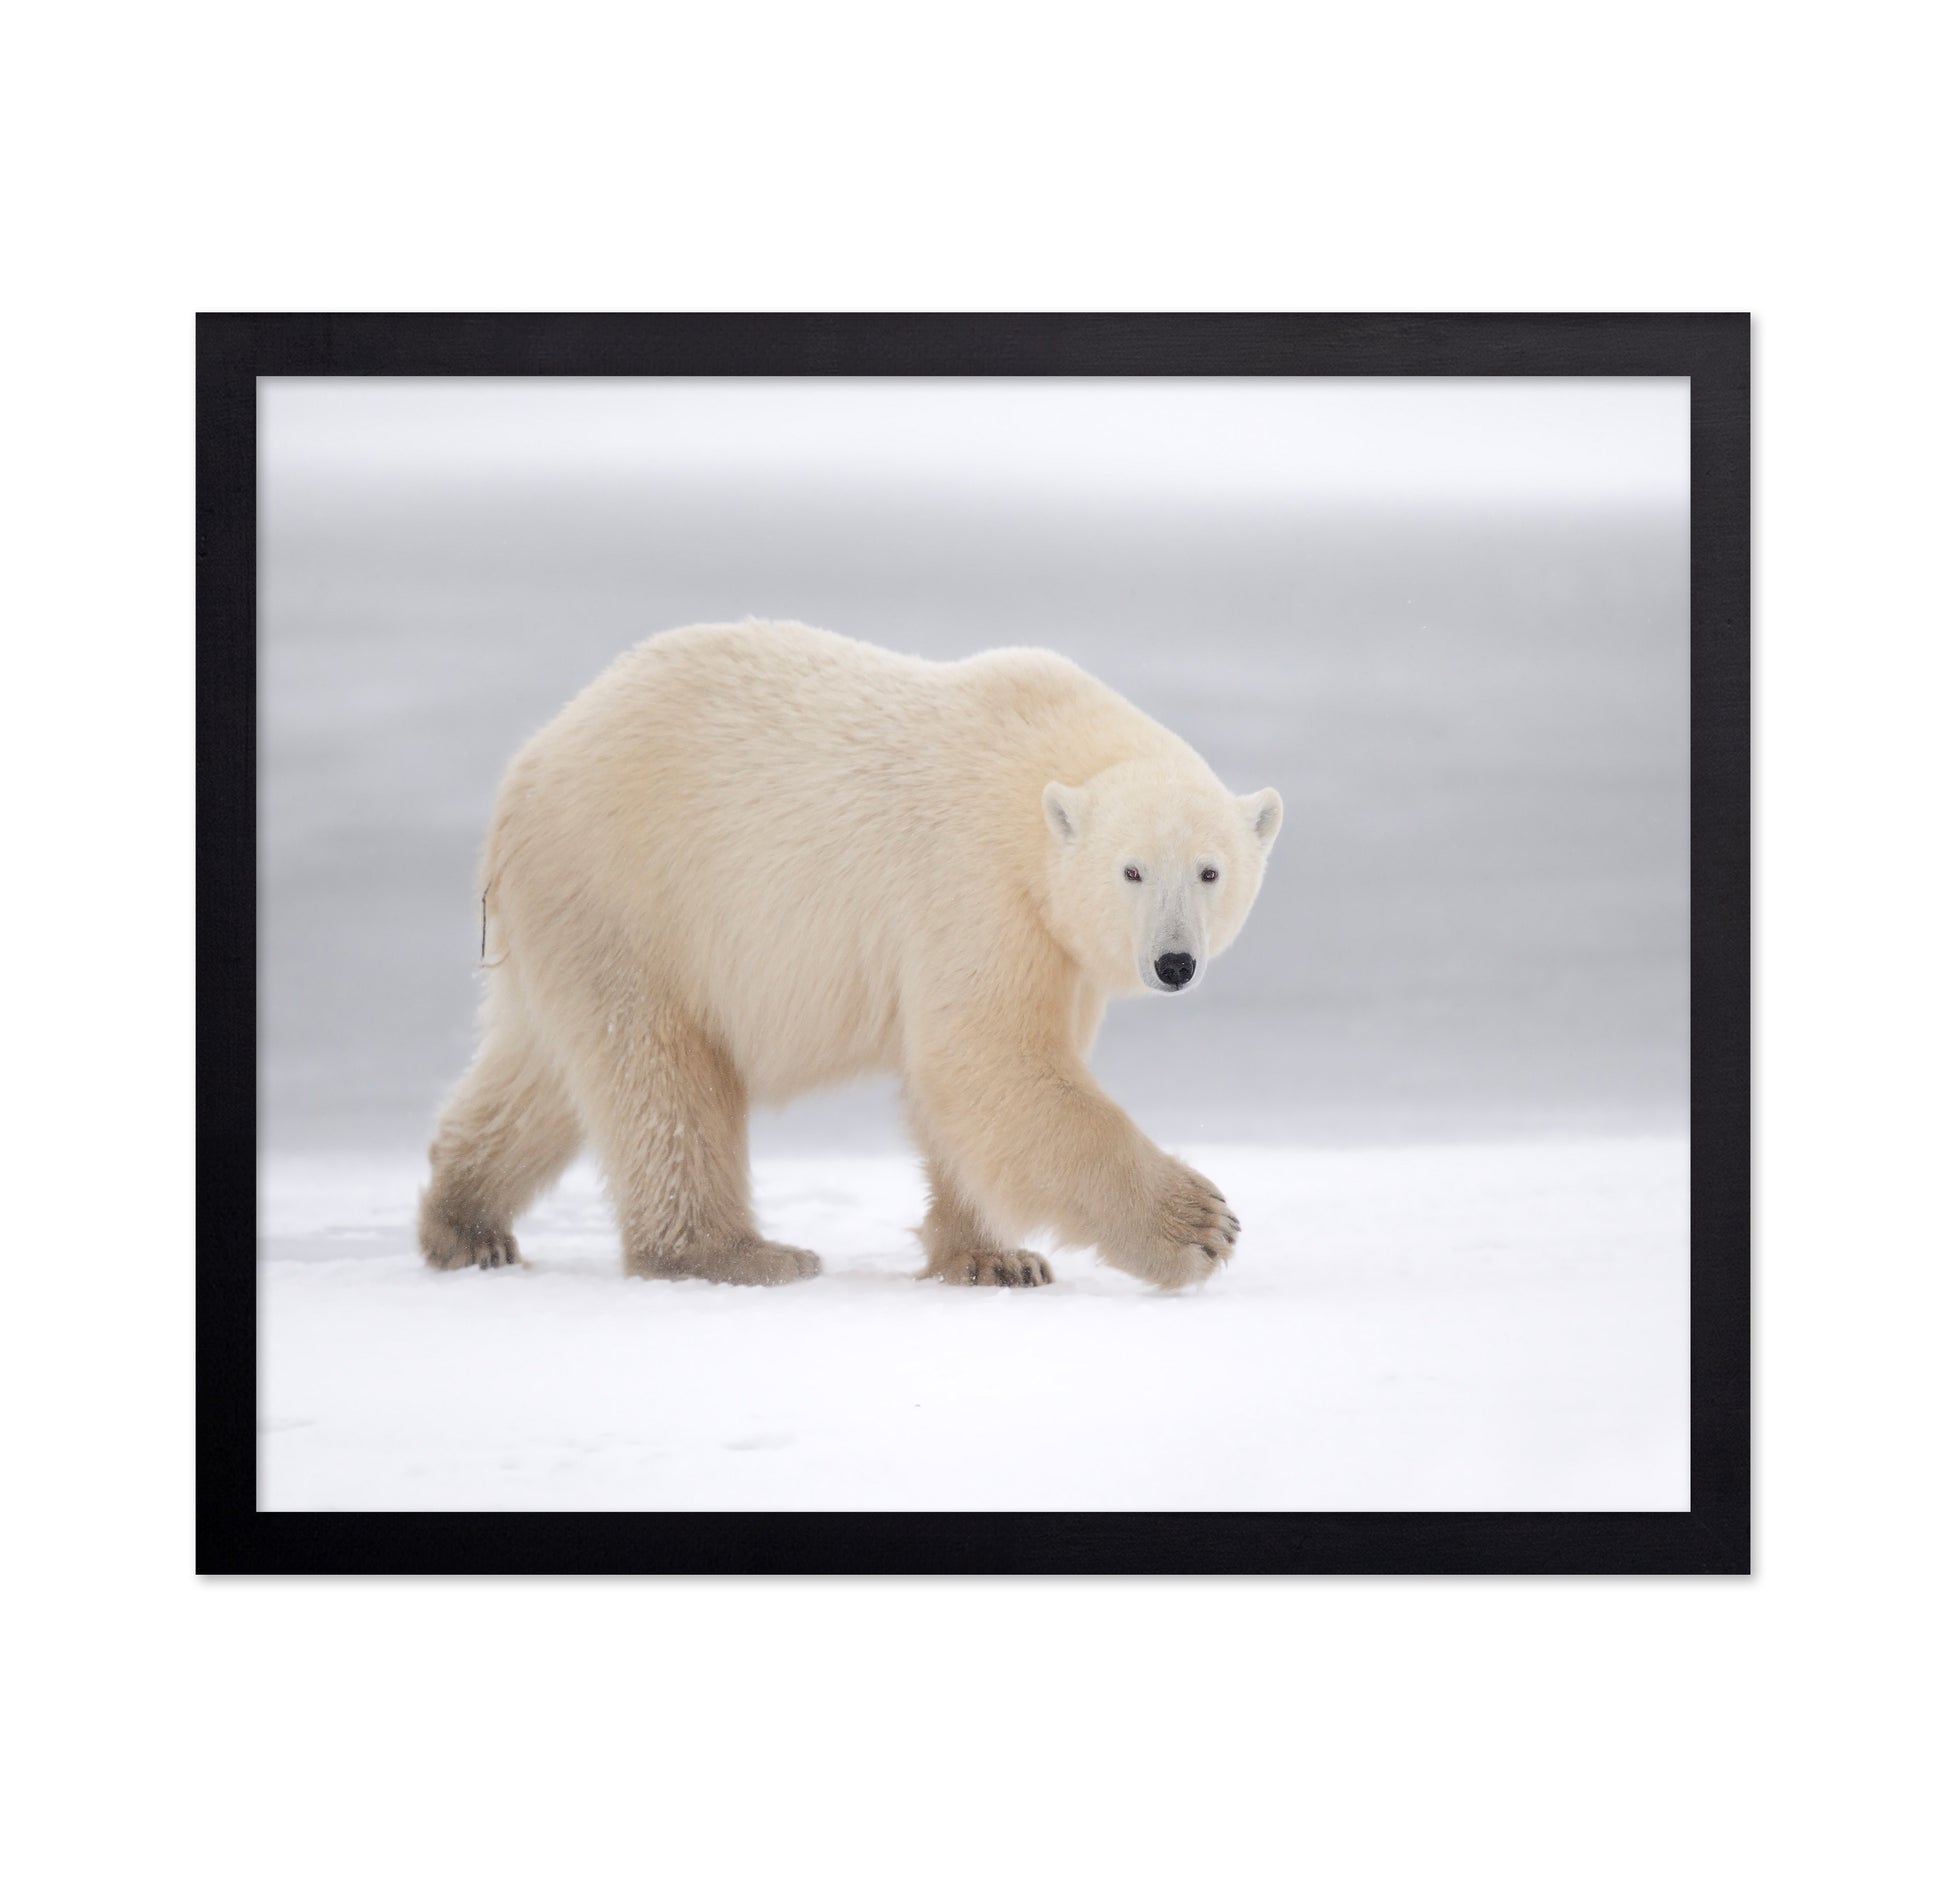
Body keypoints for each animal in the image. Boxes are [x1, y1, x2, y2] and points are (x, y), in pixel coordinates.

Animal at [419, 620, 1282, 1291]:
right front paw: (1200, 1224)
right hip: (636, 892)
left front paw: (995, 1258)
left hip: (575, 920)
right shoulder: (975, 884)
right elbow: (988, 1058)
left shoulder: (1056, 943)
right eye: (1130, 870)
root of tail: (524, 773)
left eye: (1210, 870)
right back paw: (740, 1253)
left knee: (541, 1074)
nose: (1174, 962)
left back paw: (465, 1222)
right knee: (662, 1080)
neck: (1037, 763)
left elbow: (972, 1086)